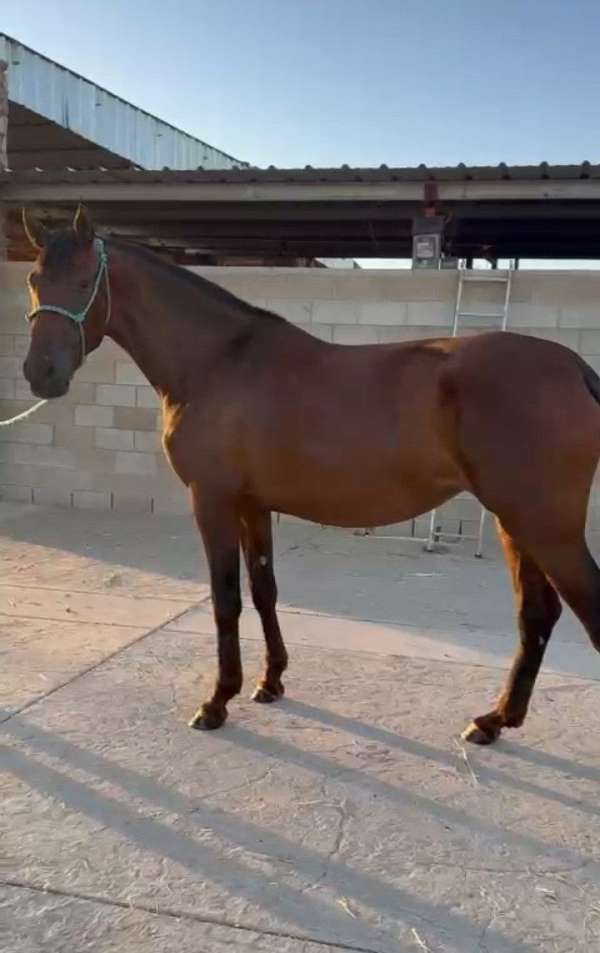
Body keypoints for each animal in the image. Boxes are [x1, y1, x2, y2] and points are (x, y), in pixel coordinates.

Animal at [21, 206, 600, 744]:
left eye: (83, 282)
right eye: (33, 279)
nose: (40, 374)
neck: (216, 361)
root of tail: (574, 368)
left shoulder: (212, 500)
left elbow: (226, 599)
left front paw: (217, 701)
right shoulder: (253, 505)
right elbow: (264, 590)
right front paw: (270, 681)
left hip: (544, 526)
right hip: (514, 521)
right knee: (537, 614)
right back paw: (494, 720)